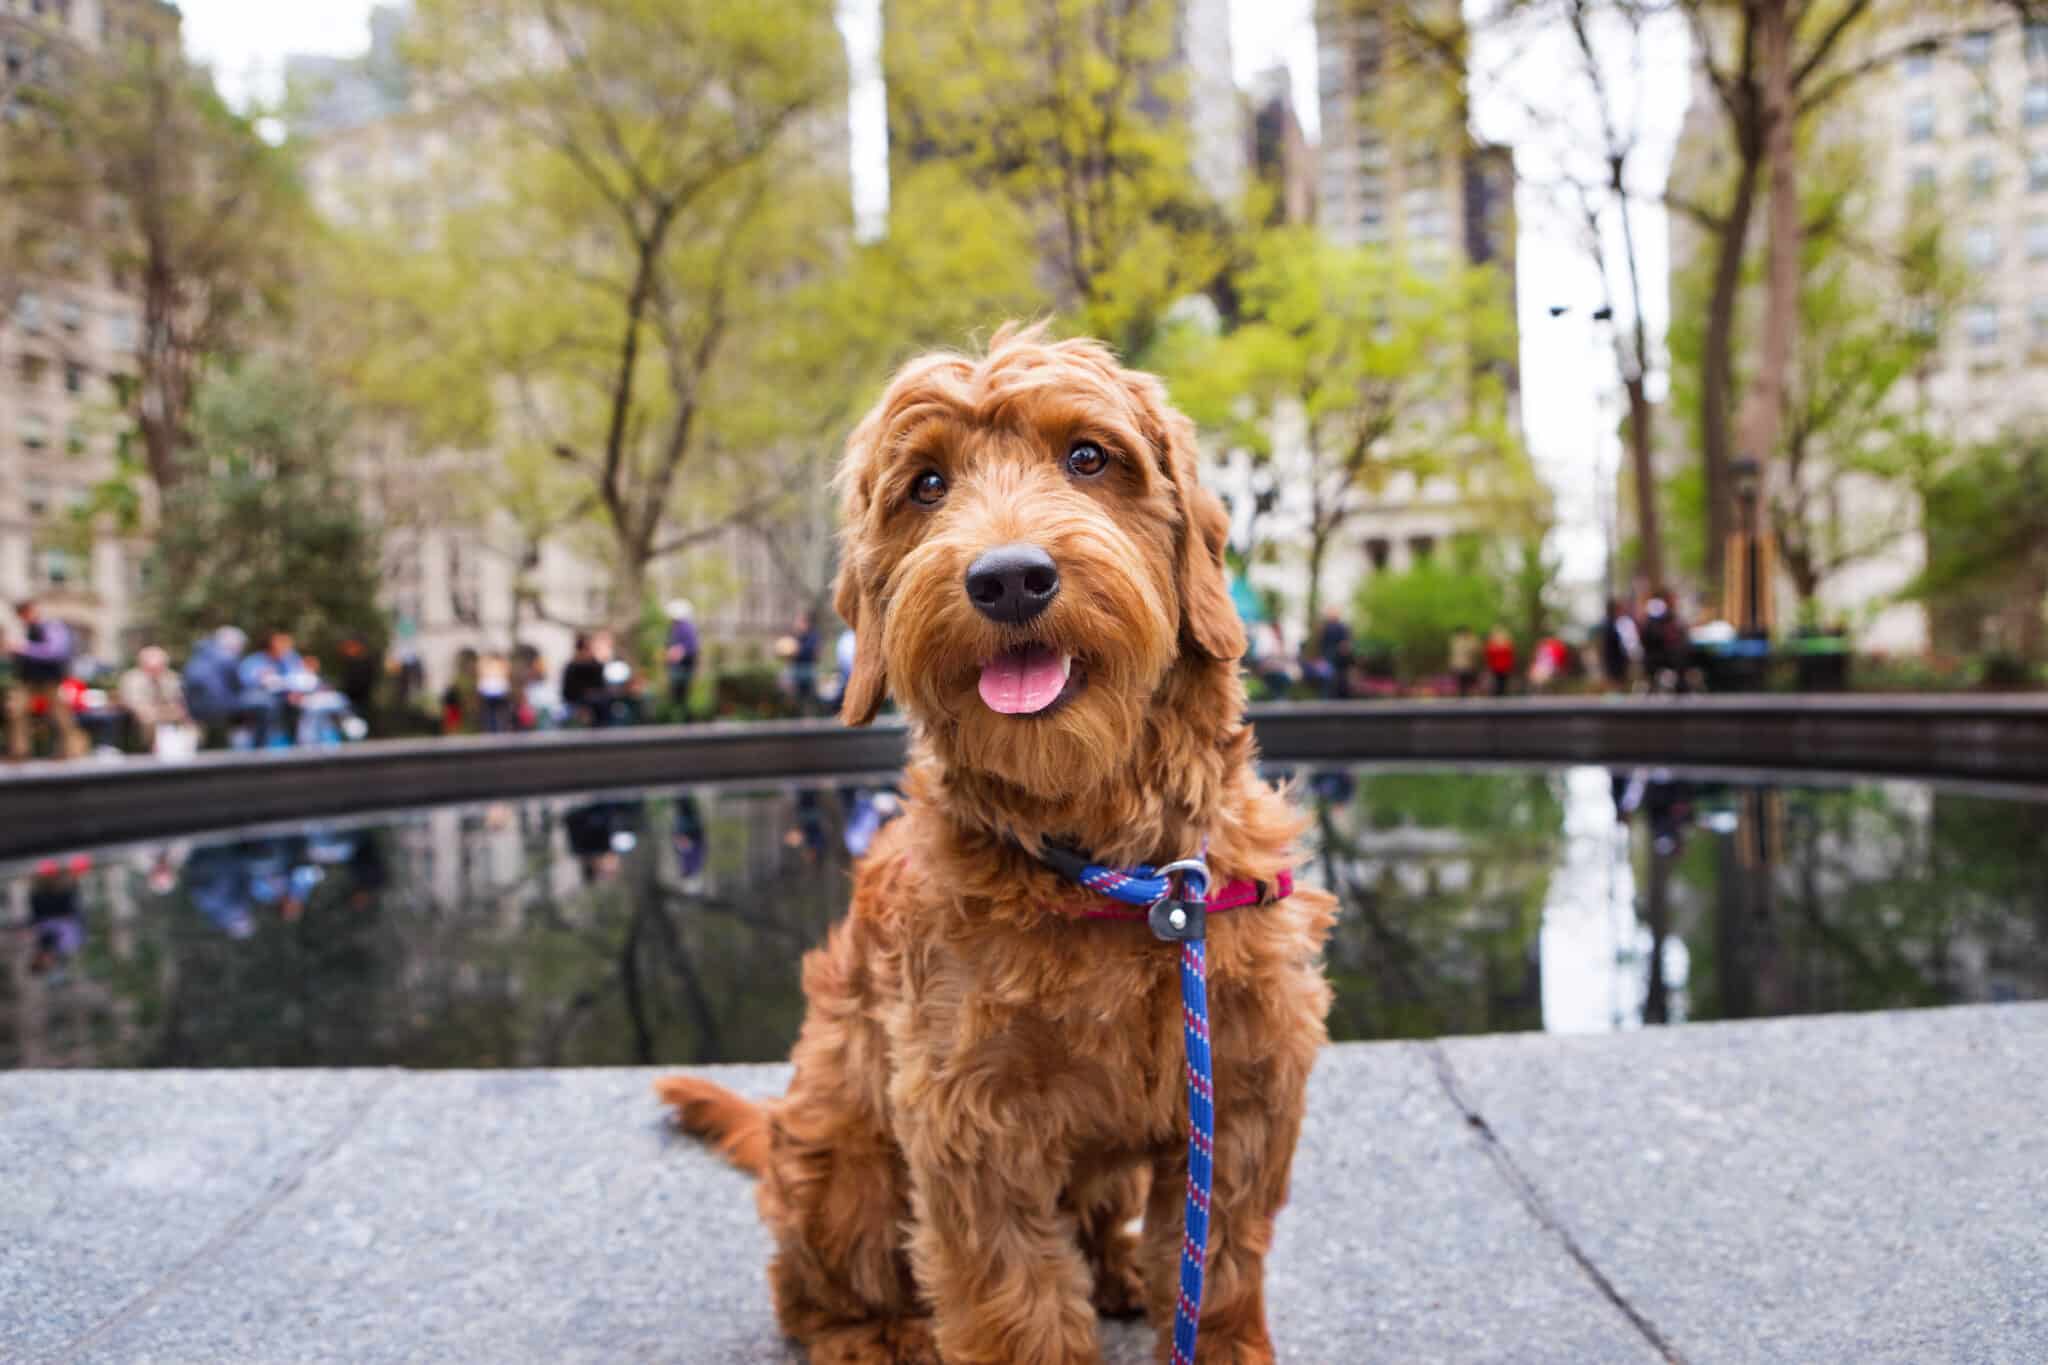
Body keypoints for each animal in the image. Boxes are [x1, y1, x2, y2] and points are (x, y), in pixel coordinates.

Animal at [651, 327, 1327, 1365]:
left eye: (1089, 456)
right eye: (926, 484)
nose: (1009, 577)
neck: (1115, 869)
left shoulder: (1244, 1091)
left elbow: (1218, 1267)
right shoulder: (973, 1118)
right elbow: (1017, 1299)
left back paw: (1118, 1269)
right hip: (843, 1161)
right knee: (809, 1287)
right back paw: (876, 1334)